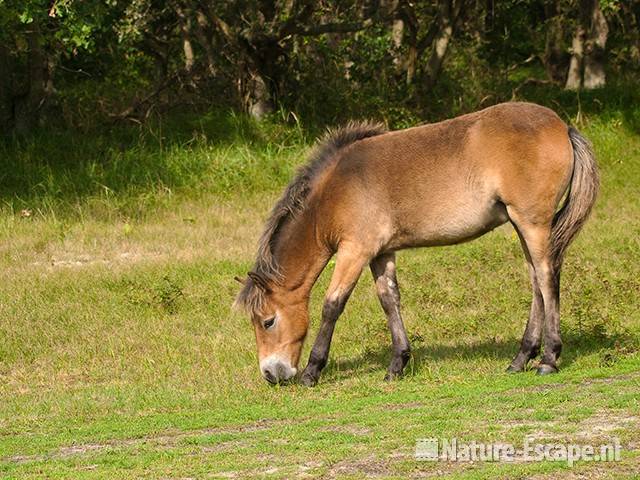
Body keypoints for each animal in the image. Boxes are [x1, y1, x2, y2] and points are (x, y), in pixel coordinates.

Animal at [235, 102, 600, 386]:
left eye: (268, 321)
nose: (271, 374)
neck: (336, 192)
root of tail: (562, 126)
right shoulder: (381, 253)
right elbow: (389, 300)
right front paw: (397, 364)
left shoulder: (355, 250)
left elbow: (332, 305)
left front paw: (313, 371)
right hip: (522, 225)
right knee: (537, 281)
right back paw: (521, 358)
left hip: (532, 222)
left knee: (547, 277)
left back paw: (548, 359)